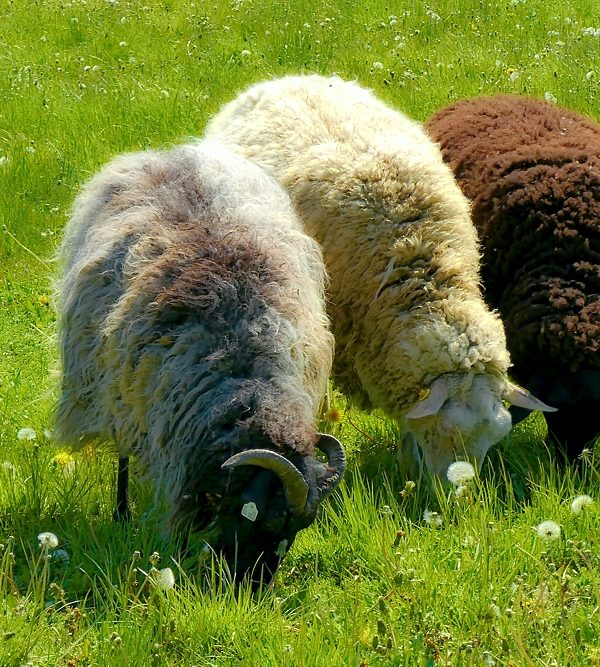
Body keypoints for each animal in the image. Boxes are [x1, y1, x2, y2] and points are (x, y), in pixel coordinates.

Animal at [54, 139, 346, 585]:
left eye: (300, 528)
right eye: (268, 519)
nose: (252, 589)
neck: (246, 378)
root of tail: (171, 154)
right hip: (115, 388)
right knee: (122, 452)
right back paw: (122, 513)